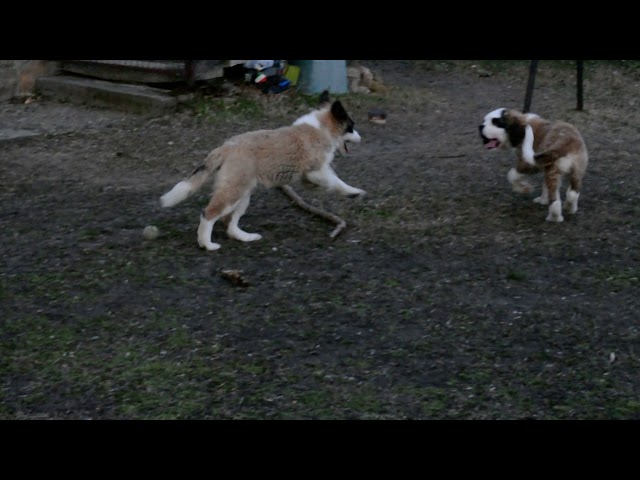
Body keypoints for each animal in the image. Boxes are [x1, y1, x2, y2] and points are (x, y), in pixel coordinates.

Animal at [159, 91, 364, 253]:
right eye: (351, 126)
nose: (361, 138)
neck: (322, 128)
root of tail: (225, 147)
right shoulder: (316, 170)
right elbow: (336, 181)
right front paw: (353, 192)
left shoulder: (311, 174)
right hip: (232, 192)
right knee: (208, 214)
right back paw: (207, 244)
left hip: (242, 194)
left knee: (229, 222)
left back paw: (246, 237)